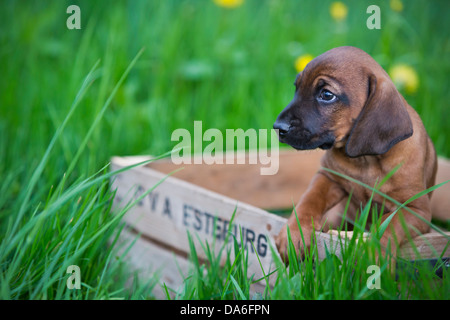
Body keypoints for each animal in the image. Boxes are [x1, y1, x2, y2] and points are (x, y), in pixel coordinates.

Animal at [272, 46, 438, 262]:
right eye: (296, 88)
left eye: (326, 94)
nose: (278, 127)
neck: (365, 160)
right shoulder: (328, 177)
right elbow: (307, 201)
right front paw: (293, 234)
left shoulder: (415, 210)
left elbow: (390, 224)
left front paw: (374, 254)